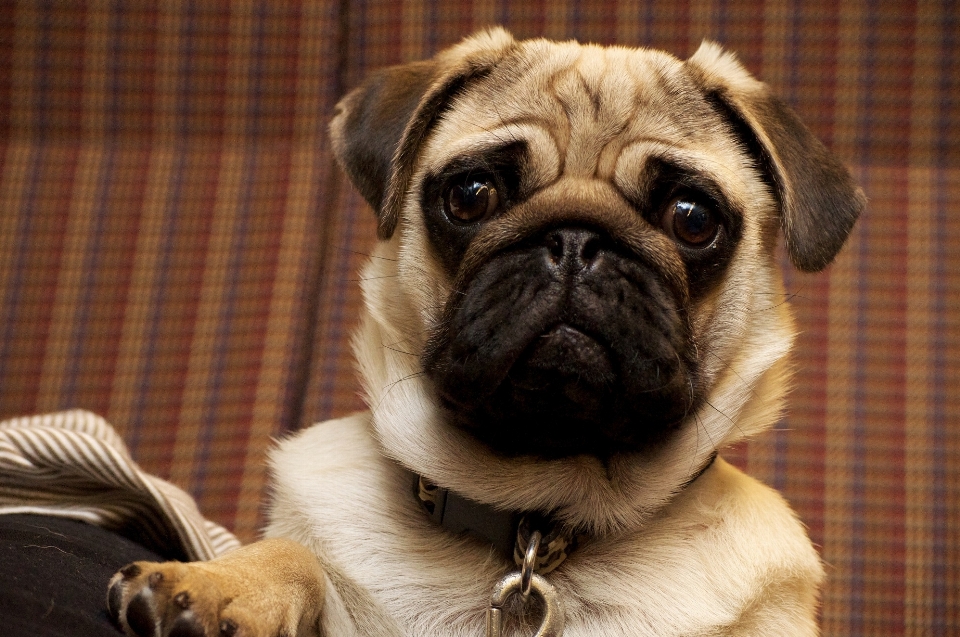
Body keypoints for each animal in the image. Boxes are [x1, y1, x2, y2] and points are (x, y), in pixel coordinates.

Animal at [105, 28, 864, 636]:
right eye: (471, 196)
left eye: (692, 217)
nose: (576, 240)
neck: (536, 524)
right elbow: (297, 555)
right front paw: (214, 584)